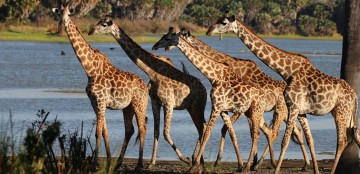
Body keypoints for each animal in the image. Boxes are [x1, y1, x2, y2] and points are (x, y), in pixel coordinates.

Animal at [51, 4, 148, 171]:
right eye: (59, 14)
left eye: (68, 14)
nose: (63, 22)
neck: (89, 69)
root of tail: (147, 87)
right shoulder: (95, 103)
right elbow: (104, 132)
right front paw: (107, 161)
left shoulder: (101, 101)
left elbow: (97, 132)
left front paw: (94, 164)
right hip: (127, 107)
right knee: (130, 129)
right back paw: (118, 163)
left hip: (139, 103)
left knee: (142, 128)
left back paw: (139, 165)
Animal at [87, 17, 207, 168]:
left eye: (104, 24)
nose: (91, 31)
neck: (153, 73)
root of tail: (204, 88)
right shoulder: (156, 102)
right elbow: (156, 131)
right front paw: (151, 163)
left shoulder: (169, 103)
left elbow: (165, 132)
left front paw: (184, 159)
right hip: (191, 108)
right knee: (201, 127)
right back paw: (199, 160)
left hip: (198, 106)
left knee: (203, 127)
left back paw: (195, 160)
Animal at [151, 27, 272, 173]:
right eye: (163, 35)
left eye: (168, 38)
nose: (154, 46)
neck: (213, 76)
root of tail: (264, 97)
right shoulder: (222, 109)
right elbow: (231, 133)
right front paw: (238, 164)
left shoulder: (216, 107)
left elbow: (207, 133)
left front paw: (195, 165)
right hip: (251, 112)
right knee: (261, 133)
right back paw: (253, 165)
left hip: (255, 112)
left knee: (256, 134)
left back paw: (250, 166)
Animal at [183, 30, 310, 169]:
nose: (208, 32)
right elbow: (226, 129)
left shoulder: (239, 109)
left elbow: (233, 129)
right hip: (285, 113)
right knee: (296, 130)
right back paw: (305, 163)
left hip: (280, 112)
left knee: (279, 132)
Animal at [207, 11, 358, 174]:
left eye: (223, 22)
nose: (209, 31)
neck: (287, 71)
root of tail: (355, 95)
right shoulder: (301, 111)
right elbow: (309, 139)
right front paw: (316, 170)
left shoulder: (293, 107)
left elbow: (284, 141)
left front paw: (276, 169)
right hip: (345, 113)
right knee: (353, 135)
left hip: (340, 111)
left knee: (342, 140)